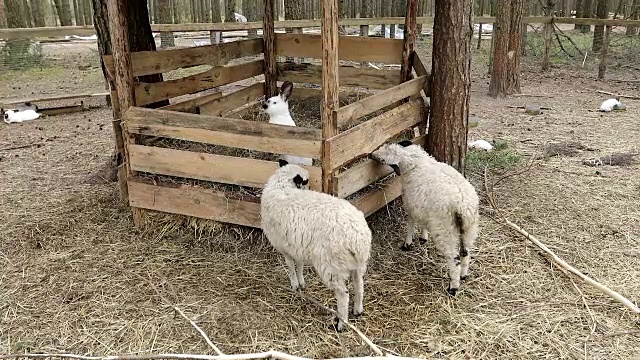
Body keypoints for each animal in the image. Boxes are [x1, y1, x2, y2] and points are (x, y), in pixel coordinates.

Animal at [258, 160, 370, 332]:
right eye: (306, 182)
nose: (310, 187)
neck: (281, 186)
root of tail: (357, 238)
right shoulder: (296, 244)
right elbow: (299, 264)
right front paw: (301, 282)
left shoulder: (285, 246)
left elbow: (290, 266)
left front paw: (294, 285)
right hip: (358, 265)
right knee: (359, 286)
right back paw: (358, 310)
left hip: (331, 267)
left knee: (343, 295)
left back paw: (341, 324)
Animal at [368, 140, 478, 296]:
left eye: (386, 151)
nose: (371, 154)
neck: (417, 163)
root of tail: (463, 206)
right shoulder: (422, 206)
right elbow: (423, 222)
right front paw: (423, 237)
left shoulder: (410, 205)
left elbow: (411, 224)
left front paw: (407, 244)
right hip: (469, 229)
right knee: (466, 253)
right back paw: (463, 275)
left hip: (445, 229)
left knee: (454, 258)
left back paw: (453, 287)